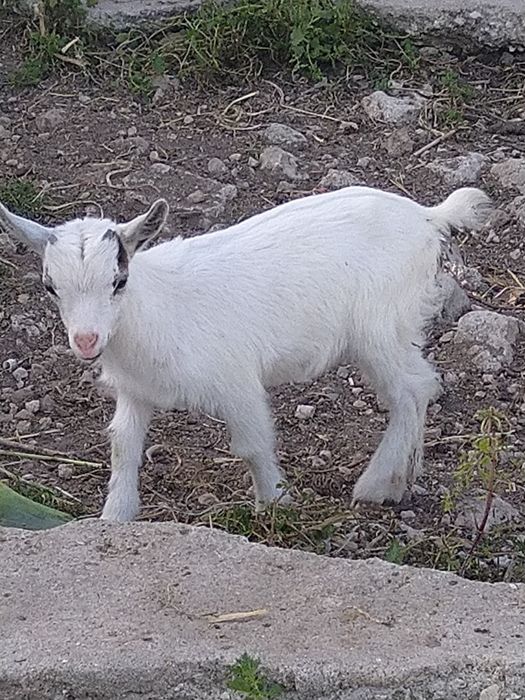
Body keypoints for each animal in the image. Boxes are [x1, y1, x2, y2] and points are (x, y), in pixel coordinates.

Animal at [0, 185, 491, 521]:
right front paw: (115, 516)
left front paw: (275, 503)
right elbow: (123, 445)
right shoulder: (136, 390)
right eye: (50, 286)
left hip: (381, 327)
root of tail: (428, 217)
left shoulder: (236, 381)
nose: (86, 341)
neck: (162, 307)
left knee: (413, 388)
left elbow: (253, 444)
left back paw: (378, 483)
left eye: (119, 281)